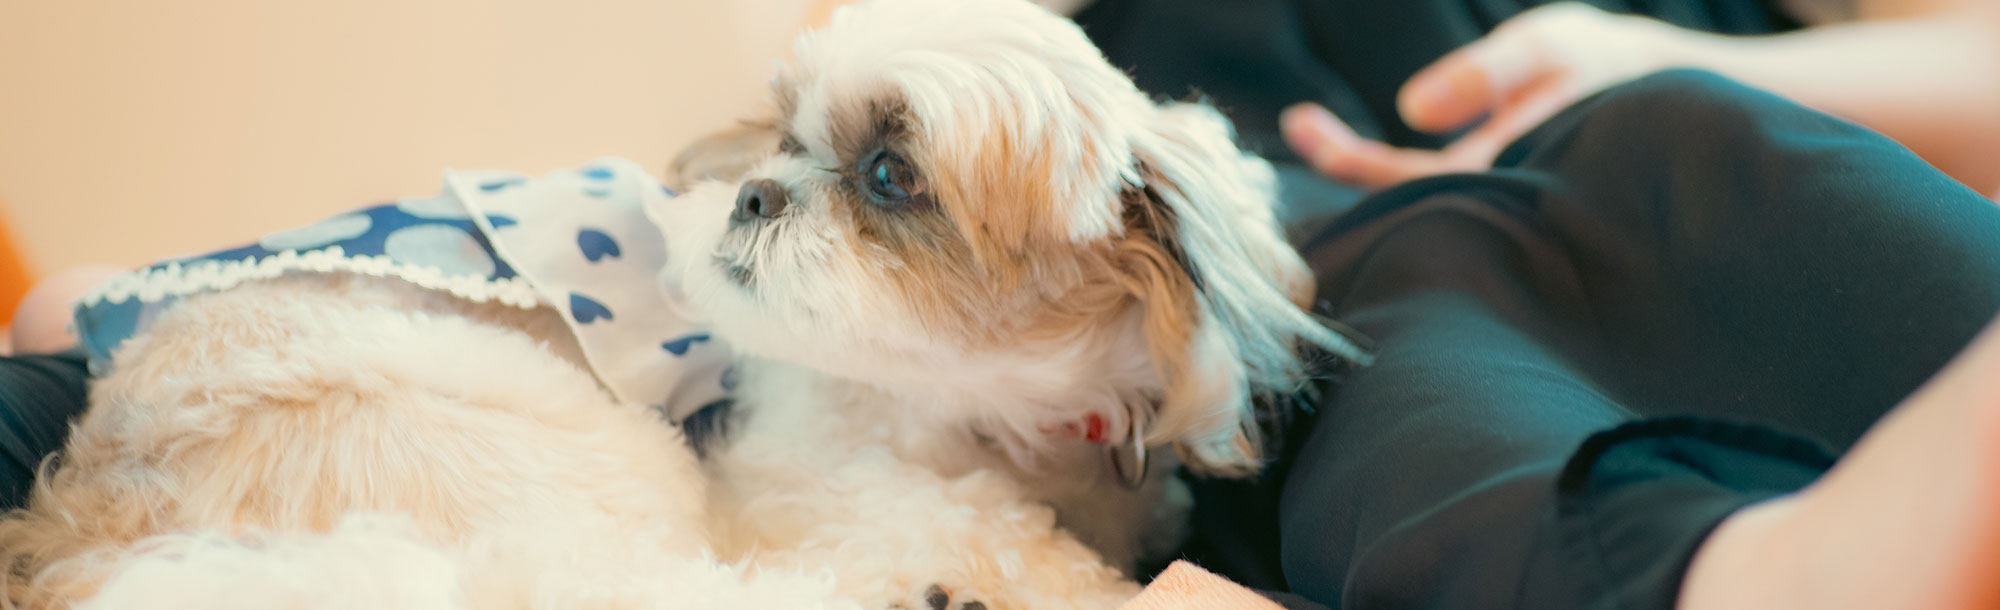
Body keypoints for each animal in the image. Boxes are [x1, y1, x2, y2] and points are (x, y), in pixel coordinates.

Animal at [0, 1, 1360, 608]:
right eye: (782, 136)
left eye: (890, 173)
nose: (753, 192)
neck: (982, 414)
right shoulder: (808, 483)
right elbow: (985, 535)